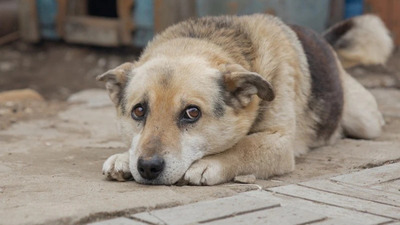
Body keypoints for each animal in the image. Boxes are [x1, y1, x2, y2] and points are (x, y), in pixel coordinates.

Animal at [97, 14, 394, 186]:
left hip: (363, 121)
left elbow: (245, 145)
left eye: (192, 113)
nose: (147, 167)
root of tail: (323, 40)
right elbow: (134, 145)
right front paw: (123, 157)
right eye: (138, 111)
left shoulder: (279, 143)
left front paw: (210, 163)